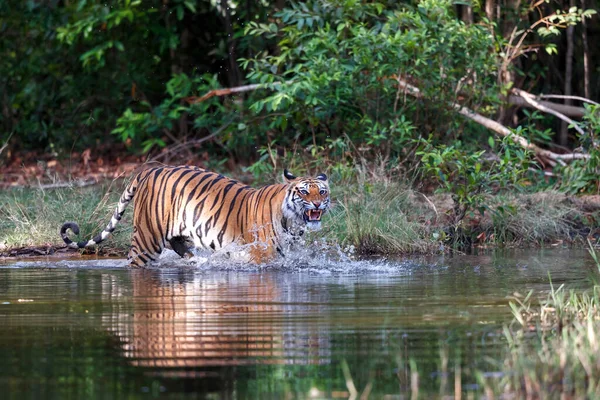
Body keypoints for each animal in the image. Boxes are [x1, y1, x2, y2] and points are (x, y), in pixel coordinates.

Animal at [59, 164, 330, 268]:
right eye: (304, 192)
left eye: (322, 191)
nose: (318, 203)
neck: (293, 222)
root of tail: (151, 169)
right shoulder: (261, 254)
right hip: (147, 238)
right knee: (136, 260)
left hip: (182, 233)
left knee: (182, 248)